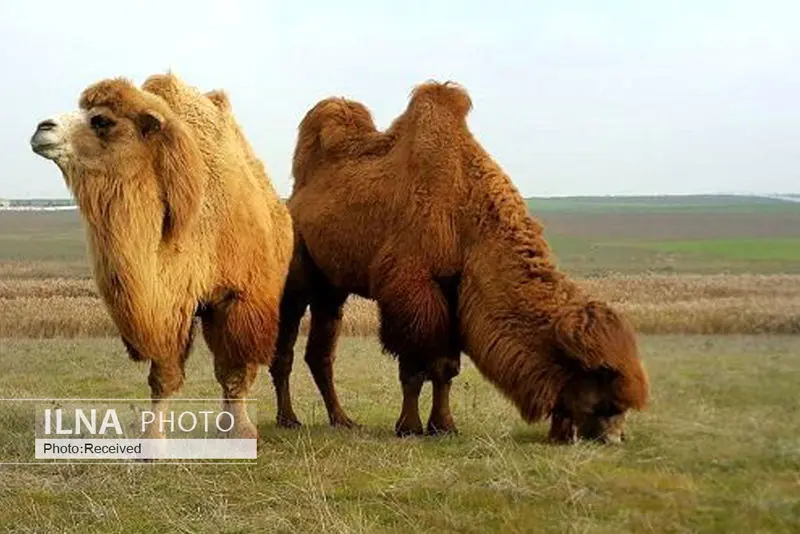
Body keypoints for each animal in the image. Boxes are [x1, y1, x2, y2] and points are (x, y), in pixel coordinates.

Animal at [32, 71, 294, 440]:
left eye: (102, 120)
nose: (42, 128)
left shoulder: (238, 298)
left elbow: (234, 372)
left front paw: (242, 431)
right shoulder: (170, 306)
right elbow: (163, 378)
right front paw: (153, 440)